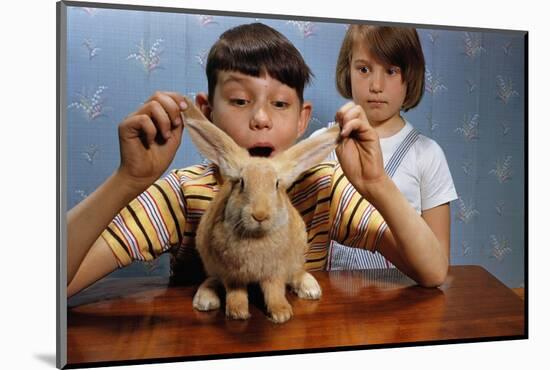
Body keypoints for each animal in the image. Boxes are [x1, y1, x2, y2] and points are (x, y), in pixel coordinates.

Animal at [183, 96, 342, 324]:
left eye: (276, 185)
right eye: (241, 183)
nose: (260, 215)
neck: (257, 237)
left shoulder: (274, 271)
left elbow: (274, 290)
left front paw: (281, 313)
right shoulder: (232, 274)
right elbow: (235, 291)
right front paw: (238, 313)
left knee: (297, 273)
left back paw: (311, 289)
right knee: (213, 279)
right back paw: (205, 299)